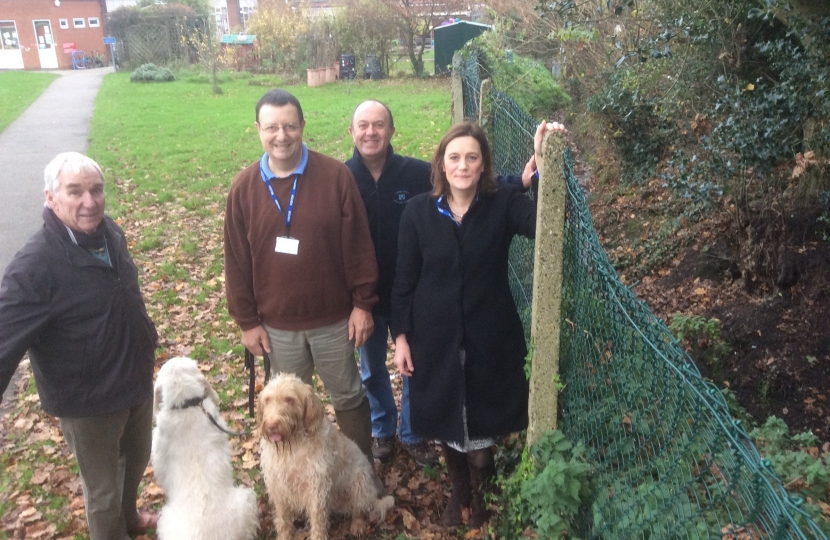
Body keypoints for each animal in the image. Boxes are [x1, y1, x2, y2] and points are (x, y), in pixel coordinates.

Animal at [258, 372, 394, 540]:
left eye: (289, 399)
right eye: (267, 400)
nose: (271, 426)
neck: (292, 446)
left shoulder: (316, 490)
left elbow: (317, 522)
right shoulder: (278, 487)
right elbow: (283, 520)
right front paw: (284, 536)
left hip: (359, 485)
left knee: (359, 510)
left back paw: (358, 524)